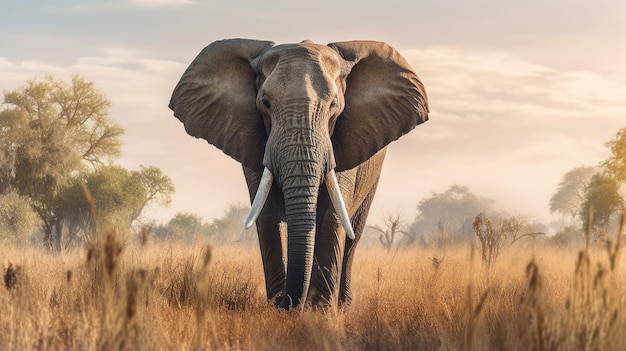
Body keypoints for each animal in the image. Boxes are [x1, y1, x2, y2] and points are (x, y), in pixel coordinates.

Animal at [168, 37, 426, 308]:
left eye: (334, 106)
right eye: (265, 103)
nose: (285, 302)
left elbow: (330, 216)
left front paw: (320, 311)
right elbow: (267, 215)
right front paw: (279, 308)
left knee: (352, 237)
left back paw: (342, 306)